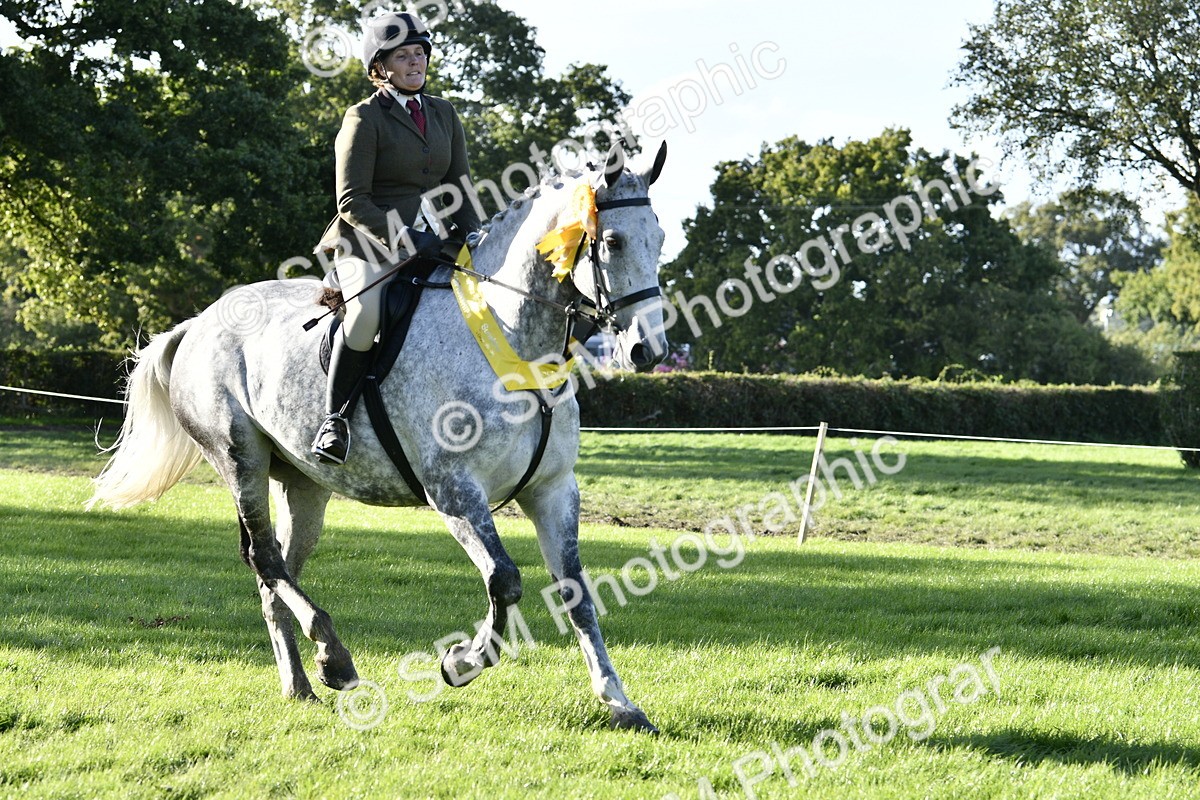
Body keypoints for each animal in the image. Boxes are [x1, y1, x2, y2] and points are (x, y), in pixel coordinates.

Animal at [87, 144, 669, 733]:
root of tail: (199, 322)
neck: (513, 342)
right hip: (239, 456)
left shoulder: (552, 490)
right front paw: (460, 662)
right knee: (265, 558)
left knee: (277, 571)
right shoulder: (453, 490)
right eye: (613, 241)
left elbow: (576, 592)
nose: (648, 351)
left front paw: (619, 701)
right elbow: (504, 580)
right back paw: (335, 657)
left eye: (661, 237)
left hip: (302, 484)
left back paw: (301, 682)